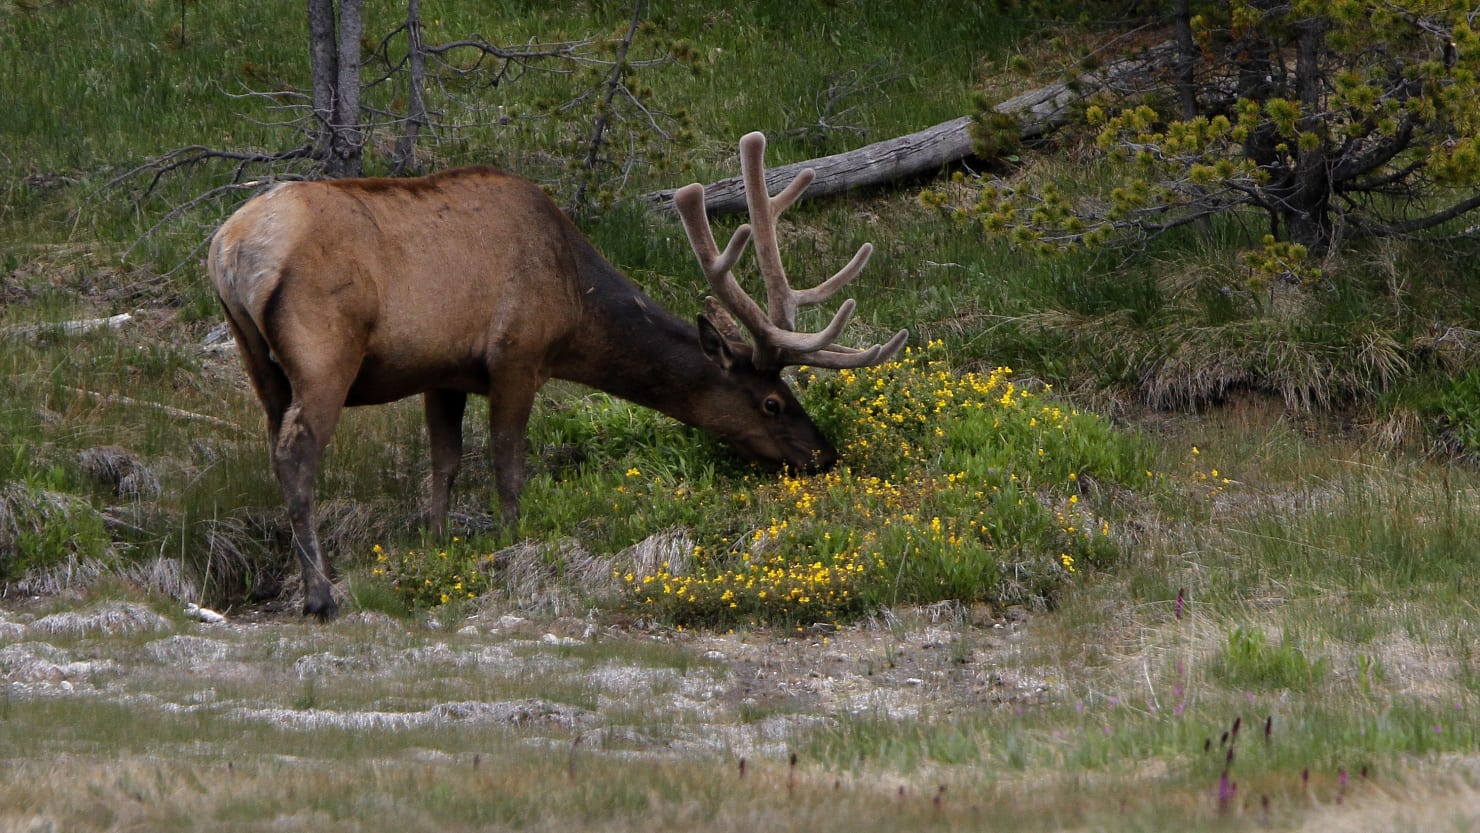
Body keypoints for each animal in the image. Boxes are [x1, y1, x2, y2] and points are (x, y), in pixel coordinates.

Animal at [208, 128, 899, 612]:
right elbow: (508, 465)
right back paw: (320, 595)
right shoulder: (517, 354)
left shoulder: (445, 371)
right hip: (325, 349)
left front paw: (435, 545)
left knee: (275, 441)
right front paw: (509, 545)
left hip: (256, 358)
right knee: (299, 450)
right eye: (773, 402)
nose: (823, 454)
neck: (573, 302)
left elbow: (445, 462)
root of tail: (230, 250)